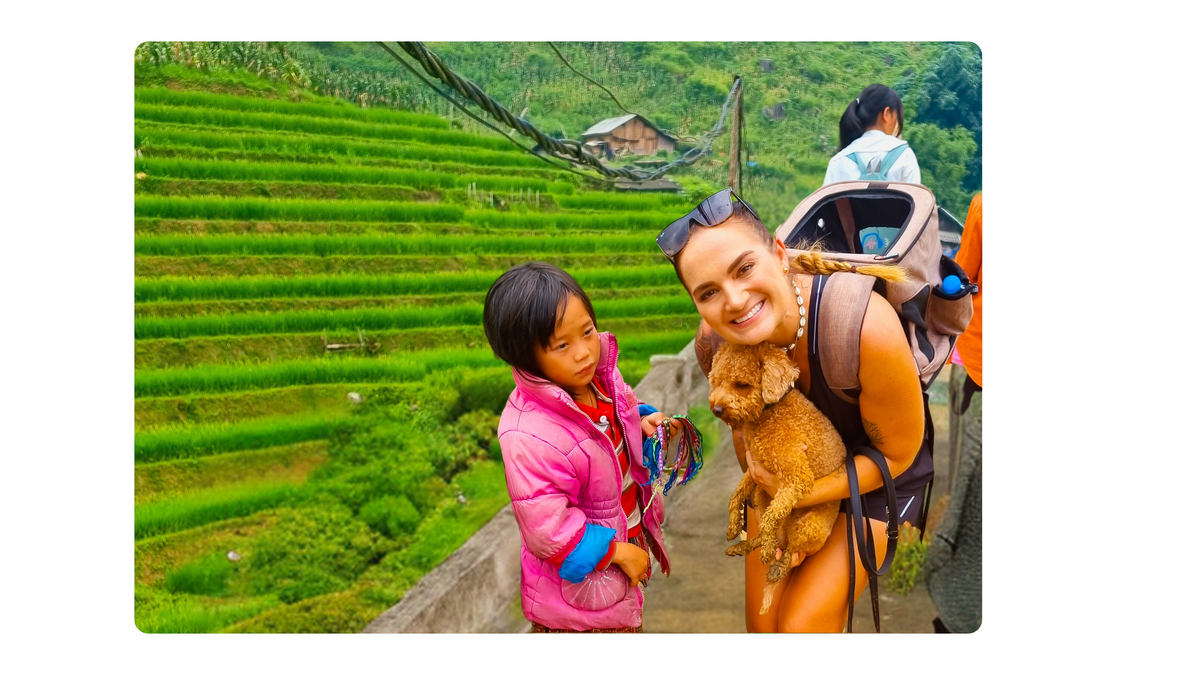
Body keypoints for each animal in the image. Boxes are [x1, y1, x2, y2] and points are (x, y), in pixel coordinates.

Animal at [708, 342, 846, 614]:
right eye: (717, 381)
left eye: (742, 384)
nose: (717, 409)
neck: (768, 412)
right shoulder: (755, 469)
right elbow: (736, 495)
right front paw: (733, 525)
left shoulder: (797, 477)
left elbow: (771, 517)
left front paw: (769, 550)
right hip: (761, 496)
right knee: (762, 536)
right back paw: (744, 546)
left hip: (809, 527)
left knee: (790, 551)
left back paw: (776, 566)